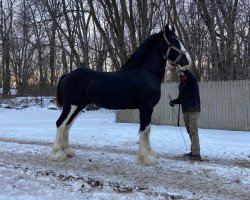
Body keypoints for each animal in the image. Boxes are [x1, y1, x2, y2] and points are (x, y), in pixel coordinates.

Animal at [51, 23, 190, 166]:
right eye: (174, 41)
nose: (187, 62)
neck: (148, 72)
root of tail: (67, 75)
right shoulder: (146, 107)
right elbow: (145, 129)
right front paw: (146, 158)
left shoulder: (148, 108)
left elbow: (148, 129)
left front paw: (151, 154)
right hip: (71, 105)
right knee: (60, 123)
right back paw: (58, 154)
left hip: (79, 106)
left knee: (67, 125)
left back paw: (68, 152)